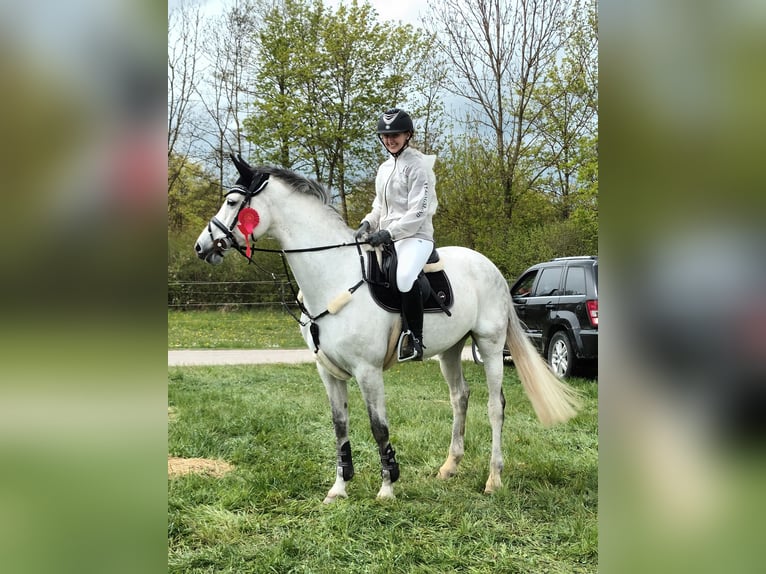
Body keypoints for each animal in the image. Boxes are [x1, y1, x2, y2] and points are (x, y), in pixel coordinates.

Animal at [194, 155, 584, 502]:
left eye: (232, 201)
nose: (201, 247)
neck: (334, 275)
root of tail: (489, 266)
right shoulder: (328, 372)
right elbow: (339, 426)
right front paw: (339, 488)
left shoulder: (367, 371)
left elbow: (378, 427)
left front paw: (387, 488)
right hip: (450, 350)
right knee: (459, 397)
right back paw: (450, 466)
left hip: (489, 345)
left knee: (495, 405)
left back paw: (493, 479)